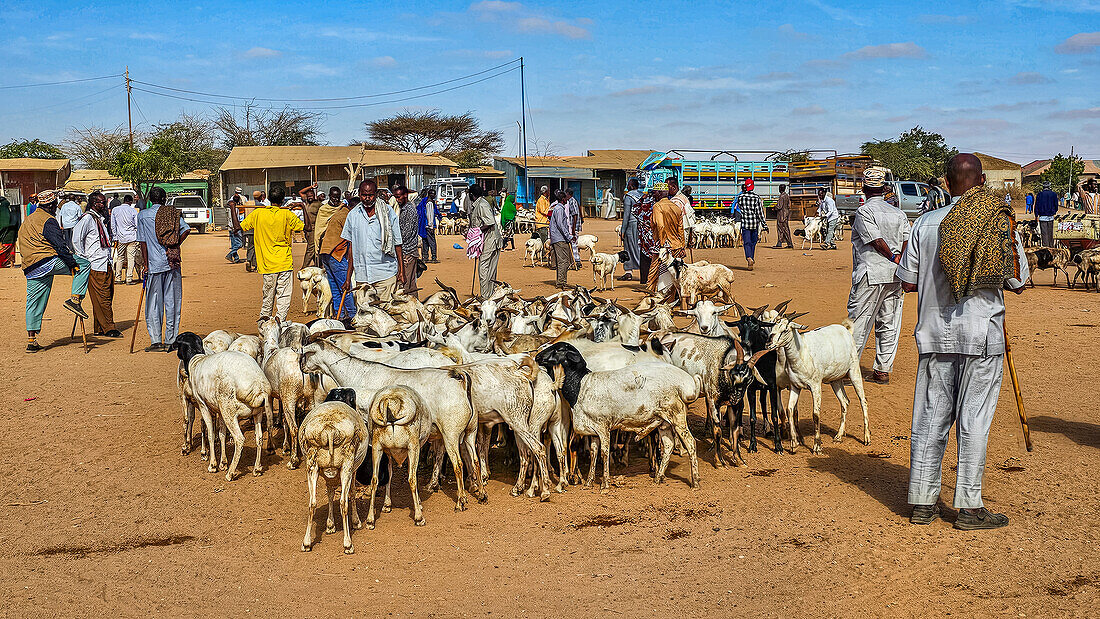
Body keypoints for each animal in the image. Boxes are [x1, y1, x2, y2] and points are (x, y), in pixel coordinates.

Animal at [171, 332, 277, 481]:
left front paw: (213, 465)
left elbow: (210, 433)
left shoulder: (203, 406)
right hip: (257, 413)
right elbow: (221, 434)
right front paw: (223, 462)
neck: (195, 361)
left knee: (240, 439)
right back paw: (256, 469)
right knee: (259, 438)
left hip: (229, 411)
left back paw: (231, 473)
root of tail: (258, 387)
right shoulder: (218, 410)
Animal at [301, 387, 369, 556]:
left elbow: (330, 493)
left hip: (312, 464)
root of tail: (329, 429)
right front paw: (356, 522)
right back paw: (348, 544)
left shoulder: (328, 474)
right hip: (347, 465)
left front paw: (330, 525)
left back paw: (306, 543)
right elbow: (351, 493)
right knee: (344, 502)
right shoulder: (353, 470)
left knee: (312, 502)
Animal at [534, 340, 704, 492]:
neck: (580, 385)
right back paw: (658, 477)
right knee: (668, 446)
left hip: (677, 416)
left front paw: (604, 485)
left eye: (558, 349)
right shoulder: (593, 430)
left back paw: (695, 482)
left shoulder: (603, 427)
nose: (537, 357)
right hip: (664, 422)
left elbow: (604, 453)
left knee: (690, 443)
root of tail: (687, 384)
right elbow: (594, 452)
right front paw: (589, 482)